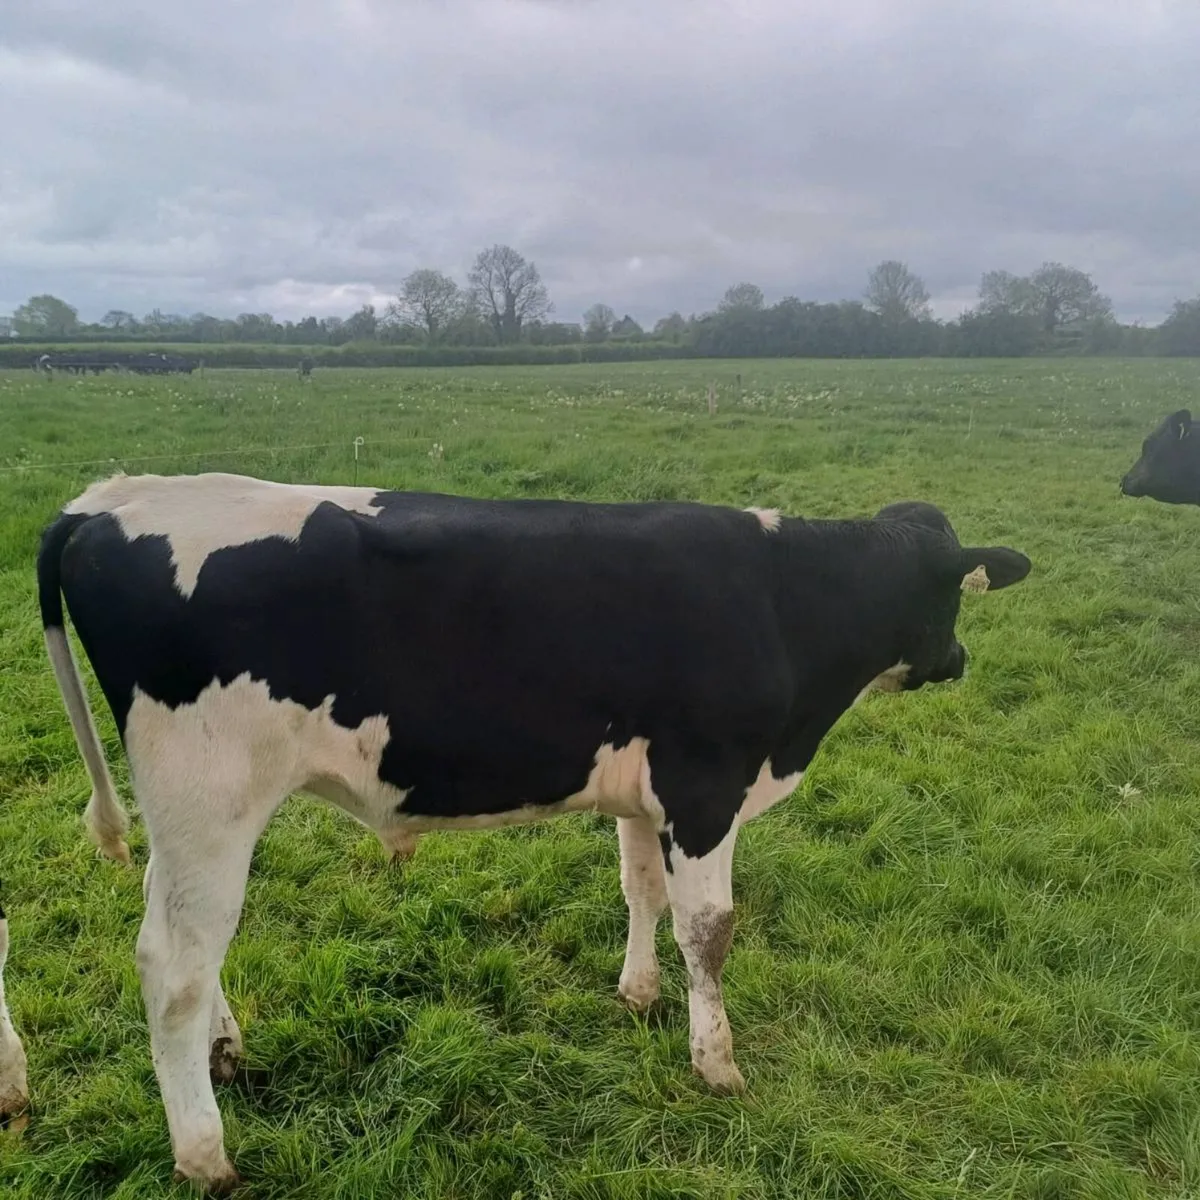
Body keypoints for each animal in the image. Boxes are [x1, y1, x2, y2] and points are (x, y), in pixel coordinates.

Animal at [0, 473, 1031, 1192]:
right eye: (953, 591)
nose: (958, 658)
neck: (784, 600)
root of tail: (110, 498)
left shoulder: (643, 792)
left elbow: (640, 890)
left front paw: (637, 996)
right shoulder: (706, 787)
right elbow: (710, 930)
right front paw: (717, 1063)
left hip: (190, 822)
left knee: (189, 942)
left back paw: (224, 1050)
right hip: (207, 799)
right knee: (172, 966)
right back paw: (206, 1154)